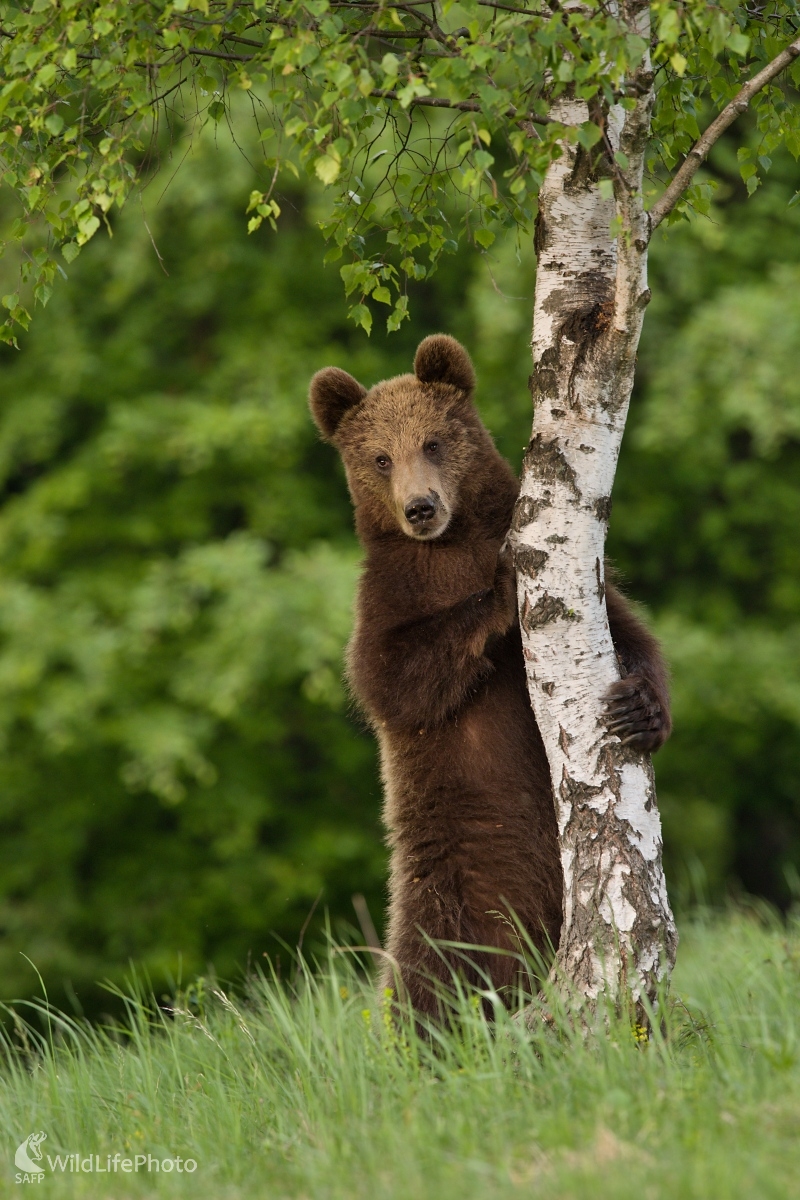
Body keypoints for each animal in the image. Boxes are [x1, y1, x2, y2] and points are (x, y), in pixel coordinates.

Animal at [309, 333, 671, 1017]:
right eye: (378, 457)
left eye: (433, 441)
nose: (421, 508)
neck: (450, 547)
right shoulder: (386, 602)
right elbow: (392, 678)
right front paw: (502, 585)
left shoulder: (591, 579)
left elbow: (629, 634)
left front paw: (639, 710)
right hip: (443, 886)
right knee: (428, 977)